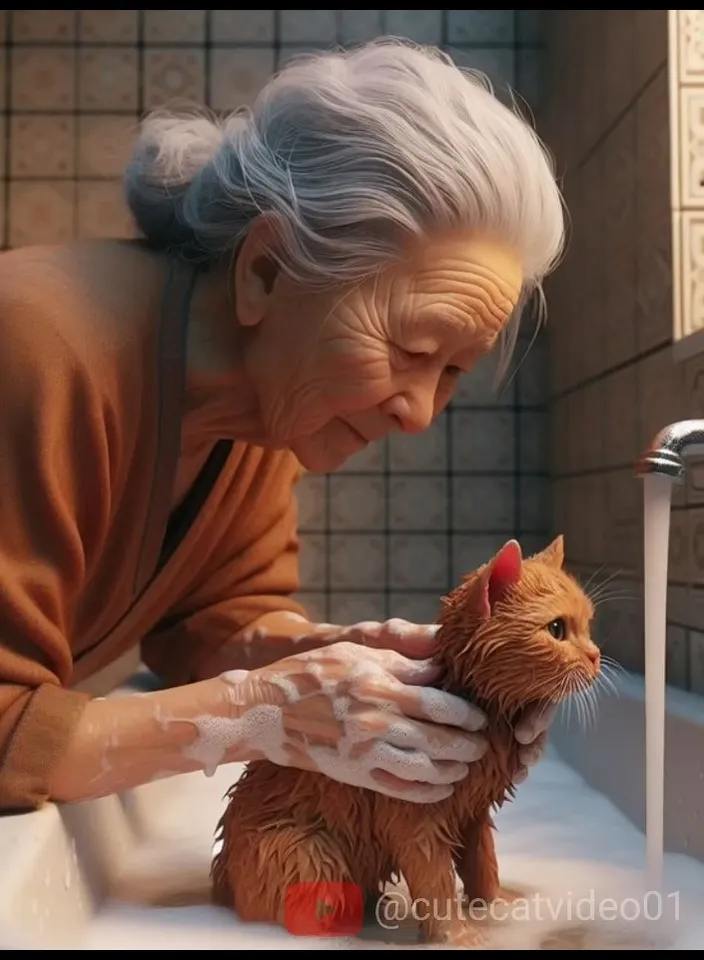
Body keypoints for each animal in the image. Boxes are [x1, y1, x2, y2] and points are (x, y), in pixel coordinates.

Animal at [209, 536, 600, 948]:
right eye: (556, 629)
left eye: (588, 626)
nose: (596, 656)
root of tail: (222, 882)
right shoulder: (414, 816)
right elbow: (435, 882)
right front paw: (456, 935)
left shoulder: (473, 809)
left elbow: (482, 862)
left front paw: (497, 907)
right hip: (308, 854)